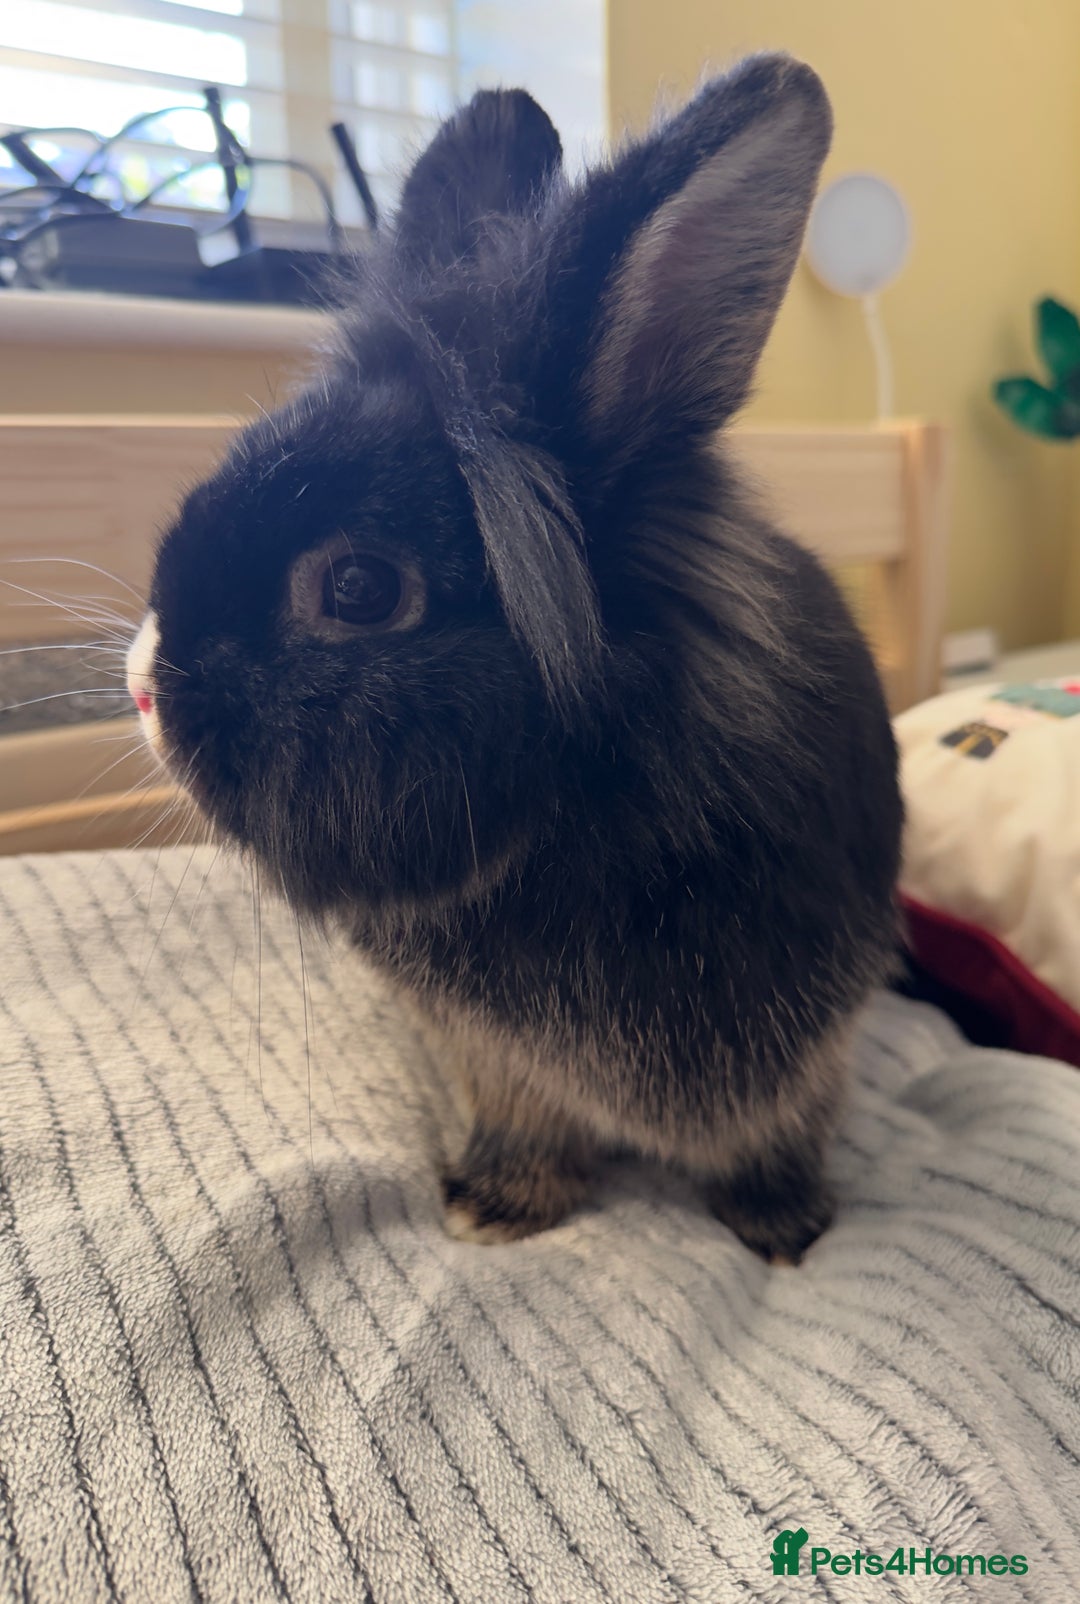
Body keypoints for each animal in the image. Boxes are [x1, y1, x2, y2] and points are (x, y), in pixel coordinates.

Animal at [127, 54, 903, 1263]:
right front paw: (495, 1205)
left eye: (359, 588)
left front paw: (784, 1226)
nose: (141, 689)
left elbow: (781, 1130)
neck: (591, 815)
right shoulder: (492, 1056)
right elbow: (524, 1124)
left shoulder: (812, 1045)